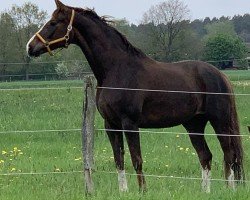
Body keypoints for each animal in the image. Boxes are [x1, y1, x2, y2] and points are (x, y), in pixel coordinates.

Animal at [26, 0, 244, 193]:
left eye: (53, 23)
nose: (30, 47)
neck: (117, 68)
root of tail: (220, 75)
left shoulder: (129, 123)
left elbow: (136, 159)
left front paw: (142, 191)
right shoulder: (111, 124)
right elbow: (119, 159)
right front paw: (124, 191)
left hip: (220, 121)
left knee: (229, 154)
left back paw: (230, 189)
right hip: (194, 124)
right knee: (206, 156)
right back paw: (206, 191)